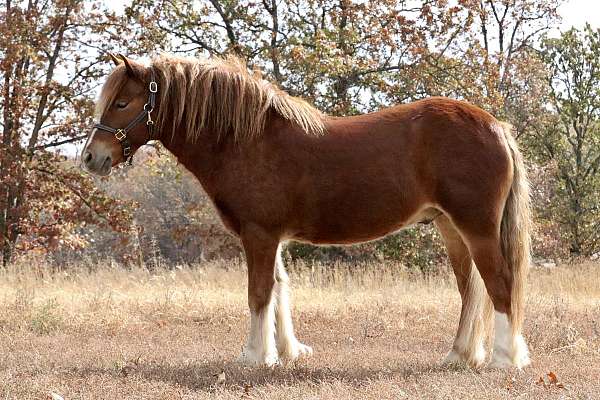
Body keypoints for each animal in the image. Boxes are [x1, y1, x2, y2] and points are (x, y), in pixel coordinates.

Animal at [82, 53, 532, 368]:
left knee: (500, 284)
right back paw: (459, 356)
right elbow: (281, 288)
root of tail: (497, 126)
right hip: (451, 228)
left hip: (477, 228)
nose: (90, 157)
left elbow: (259, 292)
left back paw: (505, 359)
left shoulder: (259, 234)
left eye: (122, 102)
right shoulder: (271, 236)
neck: (246, 139)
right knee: (471, 290)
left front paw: (256, 356)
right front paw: (288, 351)